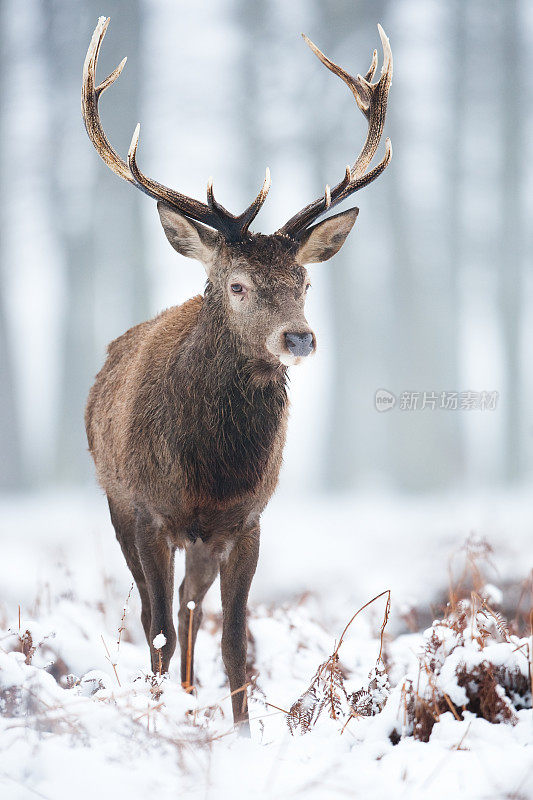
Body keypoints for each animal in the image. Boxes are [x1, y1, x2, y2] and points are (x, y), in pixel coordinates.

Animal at [81, 14, 392, 736]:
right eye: (238, 284)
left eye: (304, 281)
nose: (298, 336)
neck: (210, 469)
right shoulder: (147, 510)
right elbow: (156, 629)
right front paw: (158, 723)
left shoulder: (247, 520)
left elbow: (235, 638)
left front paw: (243, 732)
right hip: (116, 503)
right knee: (161, 613)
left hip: (203, 539)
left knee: (193, 606)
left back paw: (194, 696)